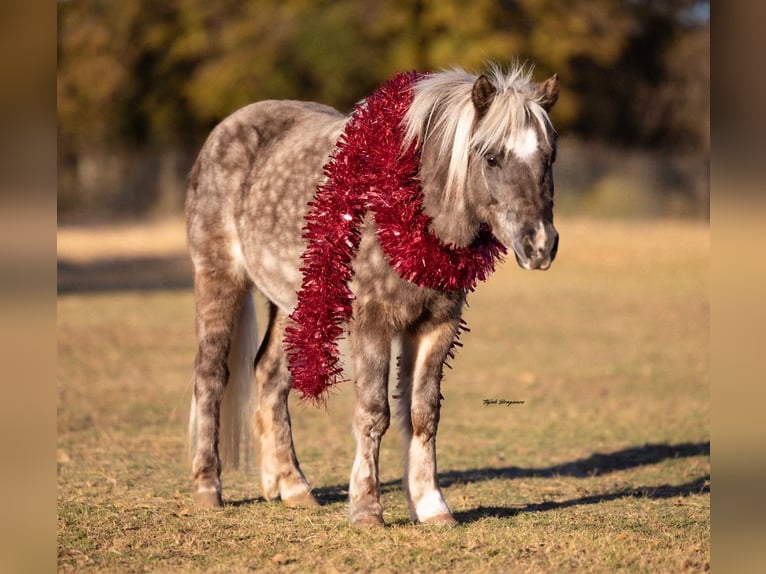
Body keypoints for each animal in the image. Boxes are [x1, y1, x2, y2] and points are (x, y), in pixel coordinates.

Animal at [186, 63, 560, 527]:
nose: (540, 245)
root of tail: (226, 129)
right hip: (219, 278)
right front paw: (366, 509)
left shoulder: (437, 326)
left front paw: (432, 505)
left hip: (297, 302)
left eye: (550, 156)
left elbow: (423, 414)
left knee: (270, 377)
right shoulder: (371, 323)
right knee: (211, 375)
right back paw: (208, 488)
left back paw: (293, 486)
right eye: (491, 156)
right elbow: (373, 413)